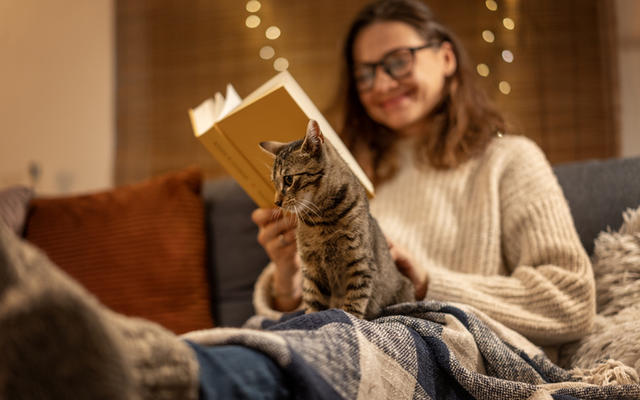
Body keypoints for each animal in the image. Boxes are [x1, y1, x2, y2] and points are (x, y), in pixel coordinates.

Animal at [260, 119, 416, 318]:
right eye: (274, 183)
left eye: (288, 179)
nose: (277, 202)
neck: (320, 219)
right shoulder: (311, 268)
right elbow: (312, 299)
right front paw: (312, 316)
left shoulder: (360, 264)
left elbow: (354, 302)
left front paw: (349, 317)